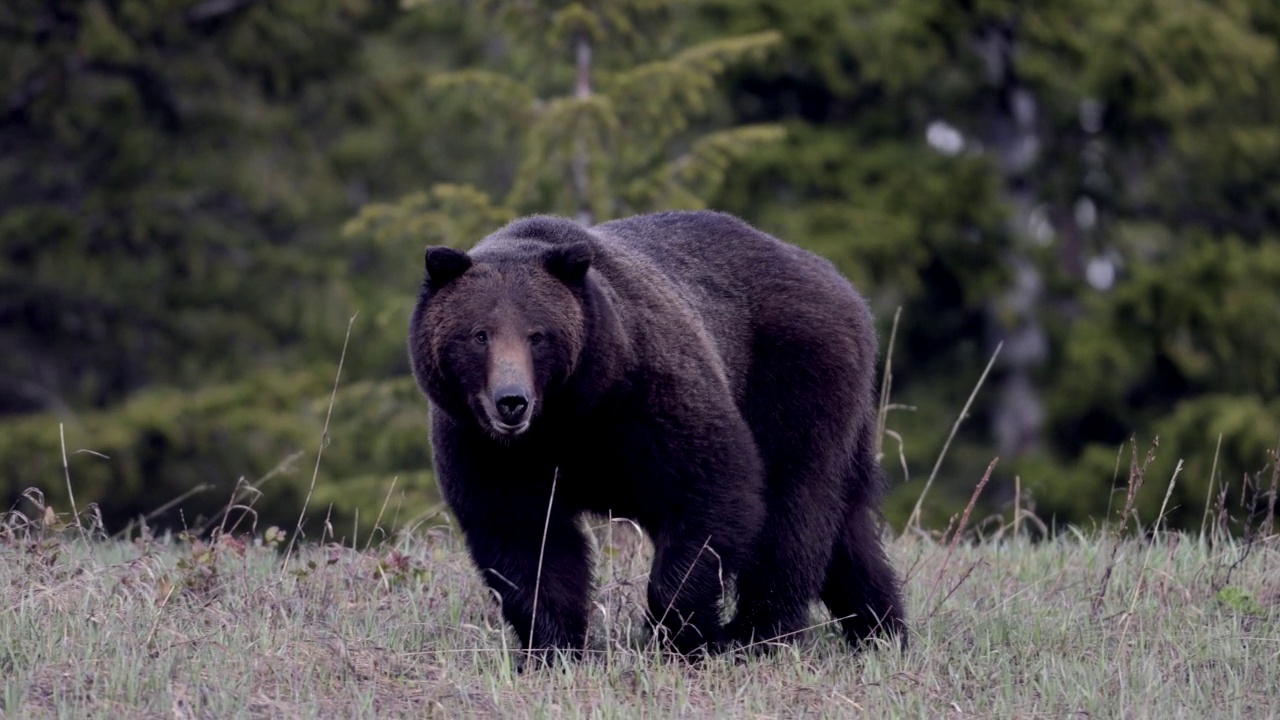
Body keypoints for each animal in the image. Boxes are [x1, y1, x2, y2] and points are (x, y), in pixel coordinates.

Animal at [412, 207, 911, 655]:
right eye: (479, 334)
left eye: (538, 335)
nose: (512, 401)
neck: (568, 417)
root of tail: (838, 280)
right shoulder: (488, 450)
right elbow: (524, 539)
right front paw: (553, 646)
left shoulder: (647, 400)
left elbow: (712, 488)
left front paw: (681, 633)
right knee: (848, 529)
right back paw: (880, 629)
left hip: (796, 377)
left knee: (794, 507)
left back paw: (758, 633)